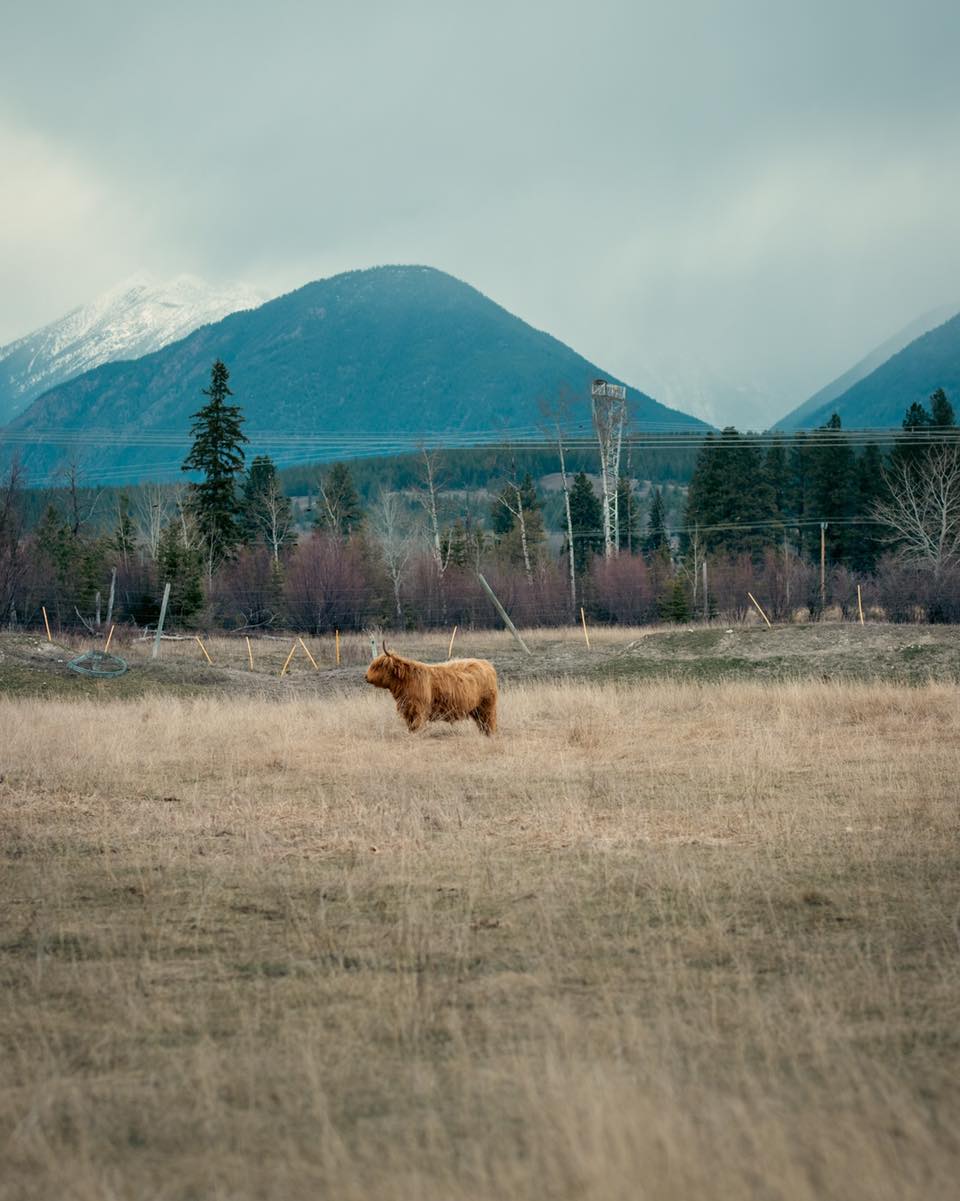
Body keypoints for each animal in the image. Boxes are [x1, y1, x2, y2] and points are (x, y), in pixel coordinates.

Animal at [365, 643, 498, 735]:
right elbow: (411, 727)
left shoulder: (418, 709)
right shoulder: (408, 709)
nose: (365, 676)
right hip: (476, 710)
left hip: (487, 707)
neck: (406, 680)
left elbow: (417, 726)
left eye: (378, 666)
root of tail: (487, 664)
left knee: (489, 723)